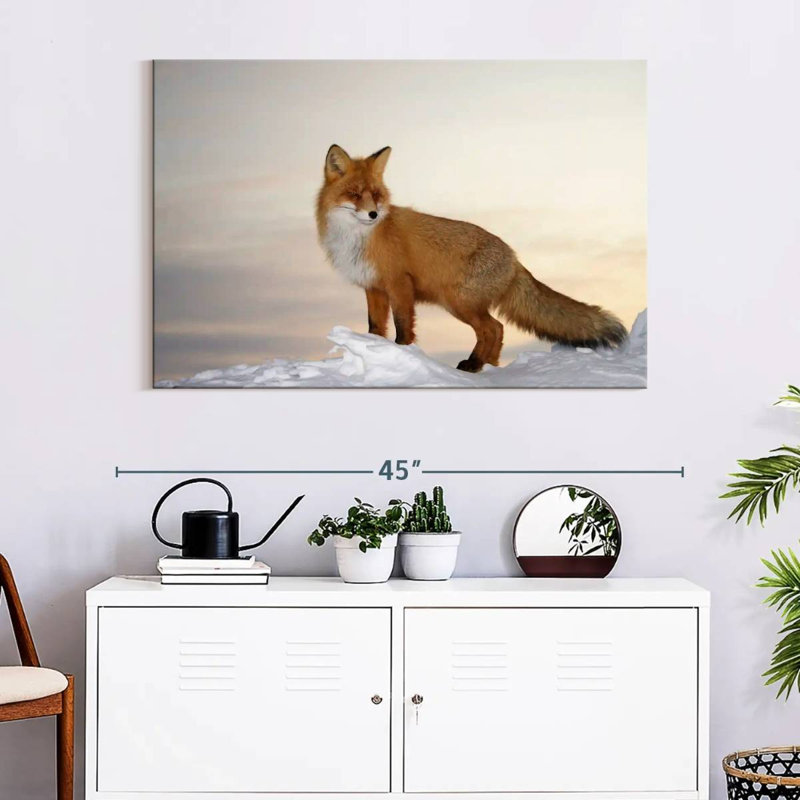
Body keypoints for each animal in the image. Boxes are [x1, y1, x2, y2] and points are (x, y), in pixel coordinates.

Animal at [315, 144, 627, 372]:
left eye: (376, 195)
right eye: (355, 194)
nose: (373, 214)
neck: (359, 238)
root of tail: (514, 257)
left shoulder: (400, 284)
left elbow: (403, 326)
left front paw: (402, 353)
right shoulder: (374, 287)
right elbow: (375, 327)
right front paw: (374, 351)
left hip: (459, 302)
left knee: (493, 328)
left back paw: (475, 365)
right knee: (497, 330)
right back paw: (488, 366)